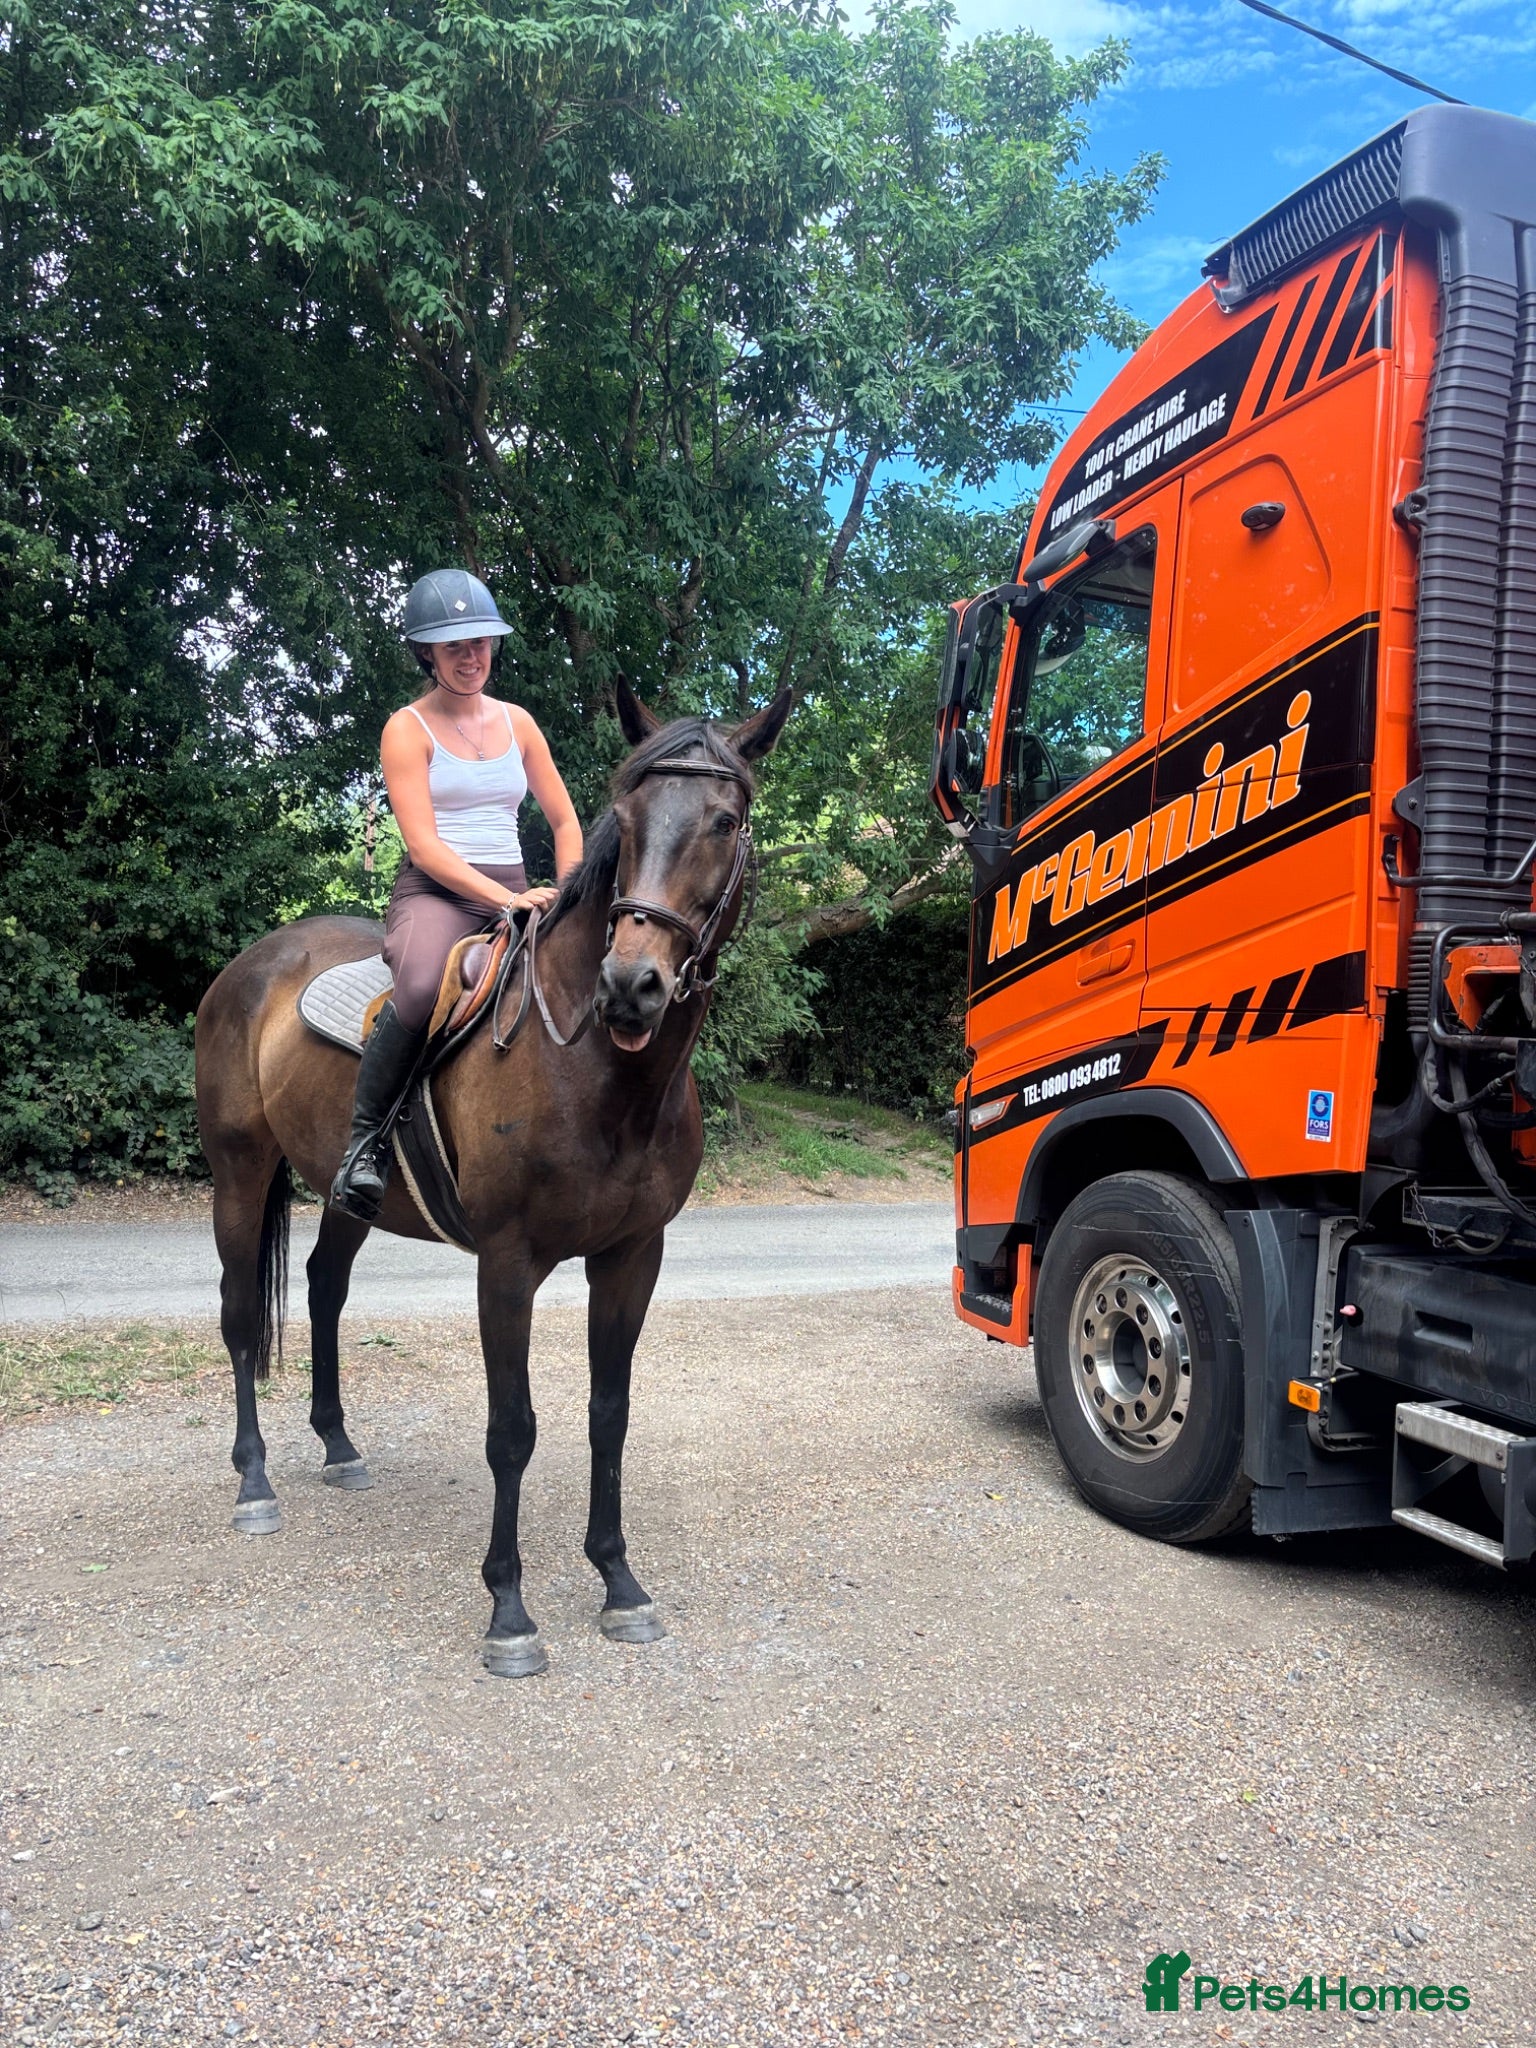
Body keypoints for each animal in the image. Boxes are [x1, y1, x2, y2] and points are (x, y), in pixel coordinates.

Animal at [193, 682, 792, 1676]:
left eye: (725, 820)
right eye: (626, 819)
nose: (631, 987)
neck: (595, 1067)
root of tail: (253, 963)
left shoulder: (633, 1258)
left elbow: (608, 1414)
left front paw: (619, 1584)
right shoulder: (506, 1265)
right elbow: (512, 1430)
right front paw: (509, 1611)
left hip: (344, 1195)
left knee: (322, 1288)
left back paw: (339, 1445)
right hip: (239, 1172)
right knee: (243, 1316)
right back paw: (254, 1483)